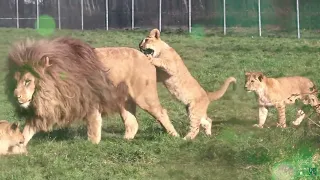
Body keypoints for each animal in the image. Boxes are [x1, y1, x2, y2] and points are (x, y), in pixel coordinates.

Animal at [6, 36, 179, 148]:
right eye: (16, 81)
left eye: (27, 81)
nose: (16, 96)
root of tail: (145, 56)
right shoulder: (45, 109)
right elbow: (27, 130)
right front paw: (17, 146)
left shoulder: (90, 100)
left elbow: (93, 126)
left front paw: (93, 145)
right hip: (123, 100)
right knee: (132, 122)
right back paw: (125, 140)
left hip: (144, 96)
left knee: (161, 112)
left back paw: (175, 137)